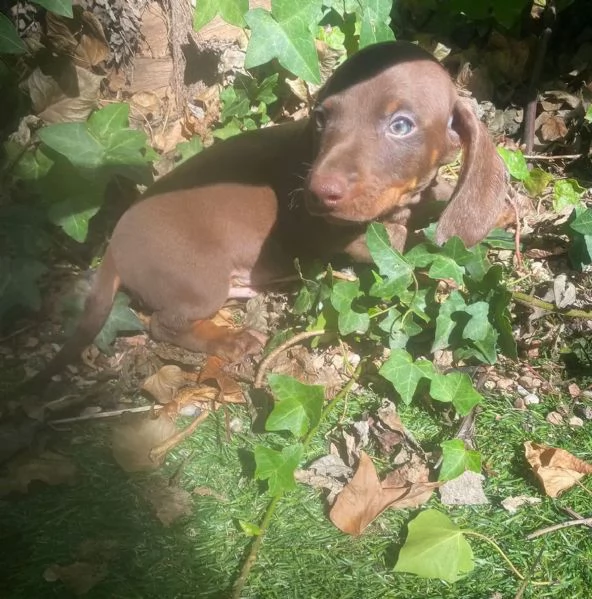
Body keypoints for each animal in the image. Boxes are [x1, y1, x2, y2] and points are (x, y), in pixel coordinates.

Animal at [27, 42, 506, 386]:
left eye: (401, 125)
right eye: (321, 117)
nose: (317, 193)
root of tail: (113, 246)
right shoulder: (352, 238)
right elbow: (403, 249)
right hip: (198, 279)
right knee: (162, 324)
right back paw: (231, 339)